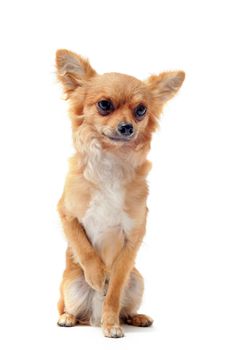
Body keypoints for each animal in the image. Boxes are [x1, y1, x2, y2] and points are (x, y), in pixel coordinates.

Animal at [55, 49, 185, 336]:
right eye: (104, 105)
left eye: (141, 110)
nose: (127, 127)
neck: (111, 162)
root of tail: (90, 317)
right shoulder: (67, 214)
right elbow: (84, 247)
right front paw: (96, 275)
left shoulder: (132, 237)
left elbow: (114, 288)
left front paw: (111, 324)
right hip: (70, 284)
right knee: (68, 308)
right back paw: (68, 317)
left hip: (137, 281)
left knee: (126, 306)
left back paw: (135, 317)